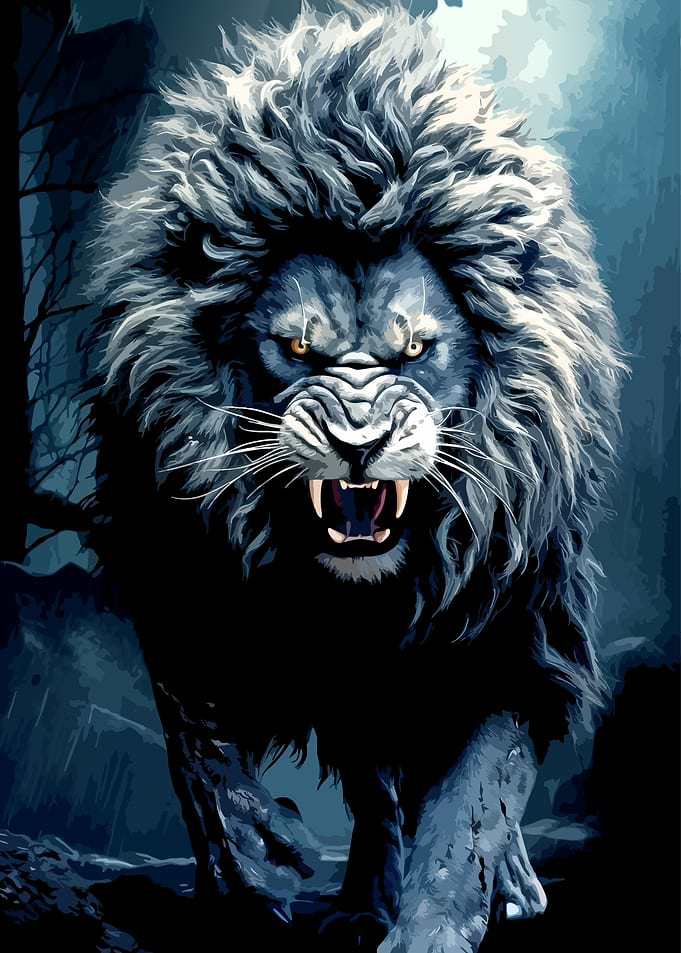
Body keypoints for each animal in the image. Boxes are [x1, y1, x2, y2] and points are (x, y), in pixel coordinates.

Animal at [86, 3, 624, 950]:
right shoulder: (177, 567)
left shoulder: (513, 626)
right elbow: (198, 749)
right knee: (374, 791)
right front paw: (253, 866)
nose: (358, 440)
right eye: (298, 348)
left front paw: (433, 928)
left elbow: (469, 810)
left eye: (415, 350)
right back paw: (359, 900)